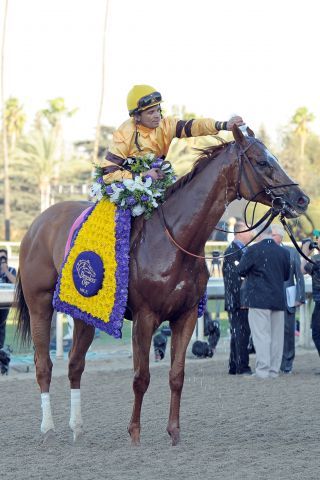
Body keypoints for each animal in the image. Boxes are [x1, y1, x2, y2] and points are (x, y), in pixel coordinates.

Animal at [15, 125, 310, 444]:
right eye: (262, 162)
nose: (302, 199)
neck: (174, 240)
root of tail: (37, 224)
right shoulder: (144, 318)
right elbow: (141, 377)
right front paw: (134, 433)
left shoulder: (186, 315)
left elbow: (177, 375)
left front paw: (174, 432)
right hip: (40, 304)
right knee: (44, 365)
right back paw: (47, 427)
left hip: (85, 310)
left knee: (75, 364)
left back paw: (77, 426)